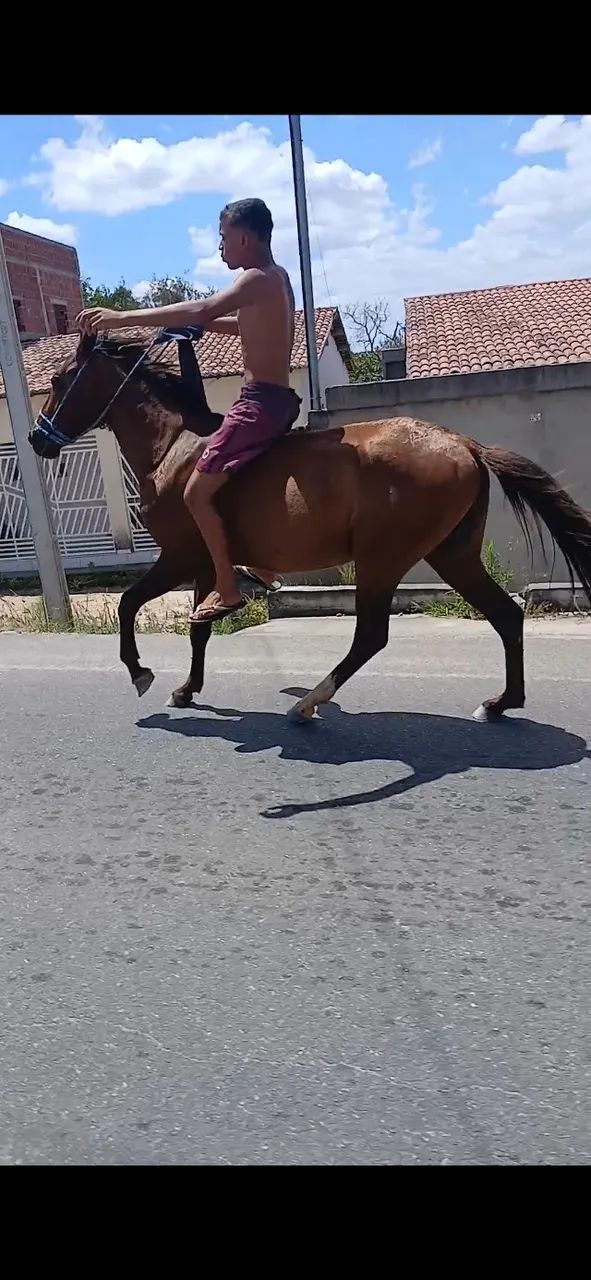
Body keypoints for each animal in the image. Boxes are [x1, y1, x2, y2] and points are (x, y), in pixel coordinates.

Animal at [29, 328, 591, 723]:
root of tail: (465, 444)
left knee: (372, 636)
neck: (174, 446)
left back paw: (309, 703)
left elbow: (128, 604)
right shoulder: (209, 566)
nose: (37, 439)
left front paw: (140, 671)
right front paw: (187, 690)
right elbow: (198, 629)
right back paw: (500, 703)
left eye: (58, 381)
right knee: (506, 616)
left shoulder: (180, 556)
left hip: (384, 558)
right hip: (453, 553)